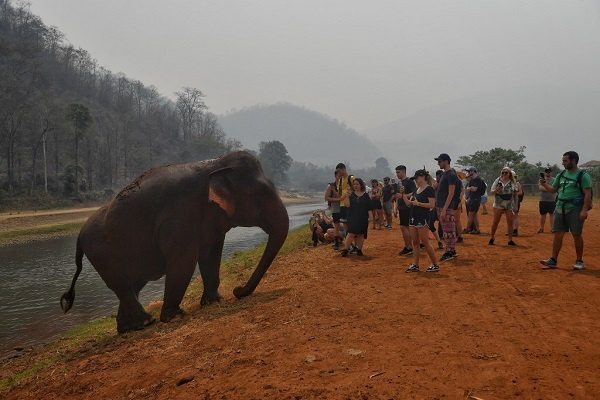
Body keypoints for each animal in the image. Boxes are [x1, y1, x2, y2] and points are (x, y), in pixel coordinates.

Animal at [59, 152, 290, 332]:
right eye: (261, 194)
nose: (238, 290)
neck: (216, 165)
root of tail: (79, 235)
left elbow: (211, 254)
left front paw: (214, 301)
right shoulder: (180, 216)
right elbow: (183, 260)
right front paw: (175, 316)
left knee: (133, 284)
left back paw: (128, 328)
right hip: (101, 253)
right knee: (122, 283)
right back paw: (147, 322)